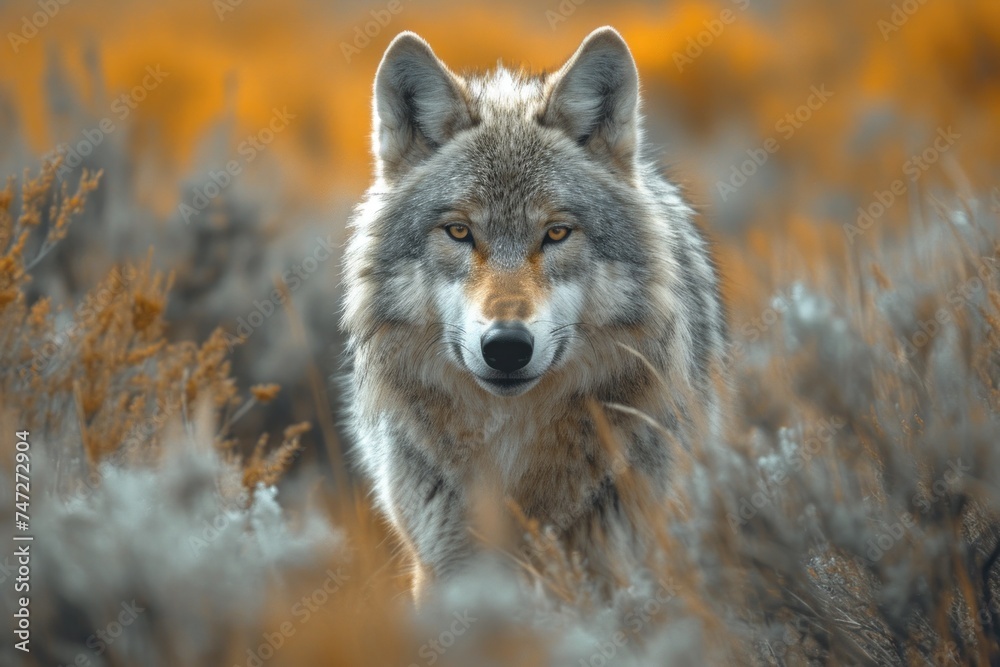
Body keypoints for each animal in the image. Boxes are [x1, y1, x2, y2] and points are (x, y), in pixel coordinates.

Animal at [341, 26, 728, 598]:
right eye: (460, 231)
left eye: (557, 233)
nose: (506, 347)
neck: (511, 446)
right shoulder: (442, 569)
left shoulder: (619, 561)